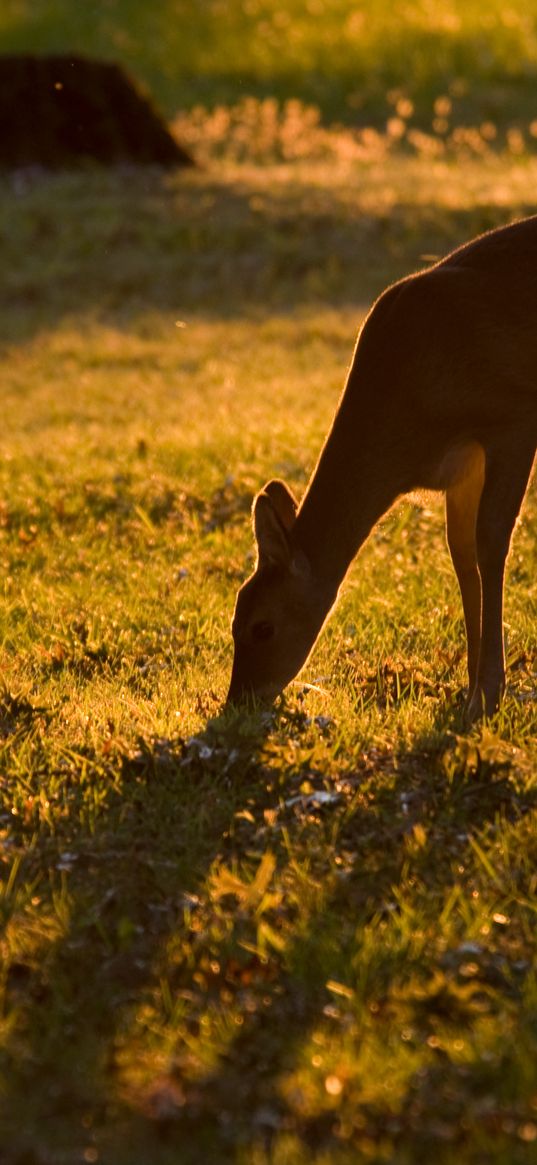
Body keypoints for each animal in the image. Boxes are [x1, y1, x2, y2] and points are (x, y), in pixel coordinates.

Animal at [227, 214, 535, 712]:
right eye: (234, 618)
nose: (238, 700)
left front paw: (487, 694)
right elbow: (461, 553)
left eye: (263, 627)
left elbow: (491, 543)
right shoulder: (463, 468)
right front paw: (469, 687)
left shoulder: (513, 419)